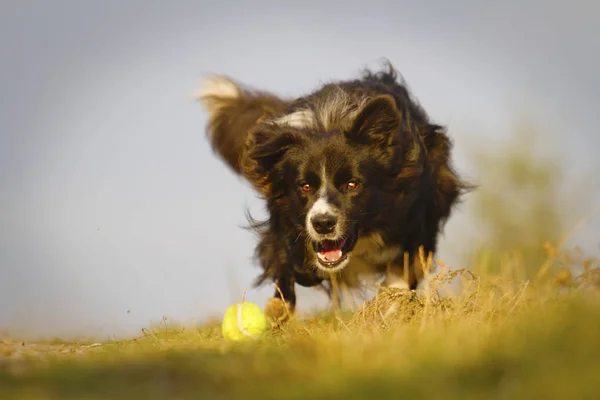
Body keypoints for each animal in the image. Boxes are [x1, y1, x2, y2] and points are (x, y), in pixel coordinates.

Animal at [197, 62, 468, 324]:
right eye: (305, 186)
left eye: (352, 184)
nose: (323, 224)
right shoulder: (285, 223)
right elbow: (286, 264)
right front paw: (276, 311)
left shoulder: (417, 217)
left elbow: (402, 270)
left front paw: (389, 308)